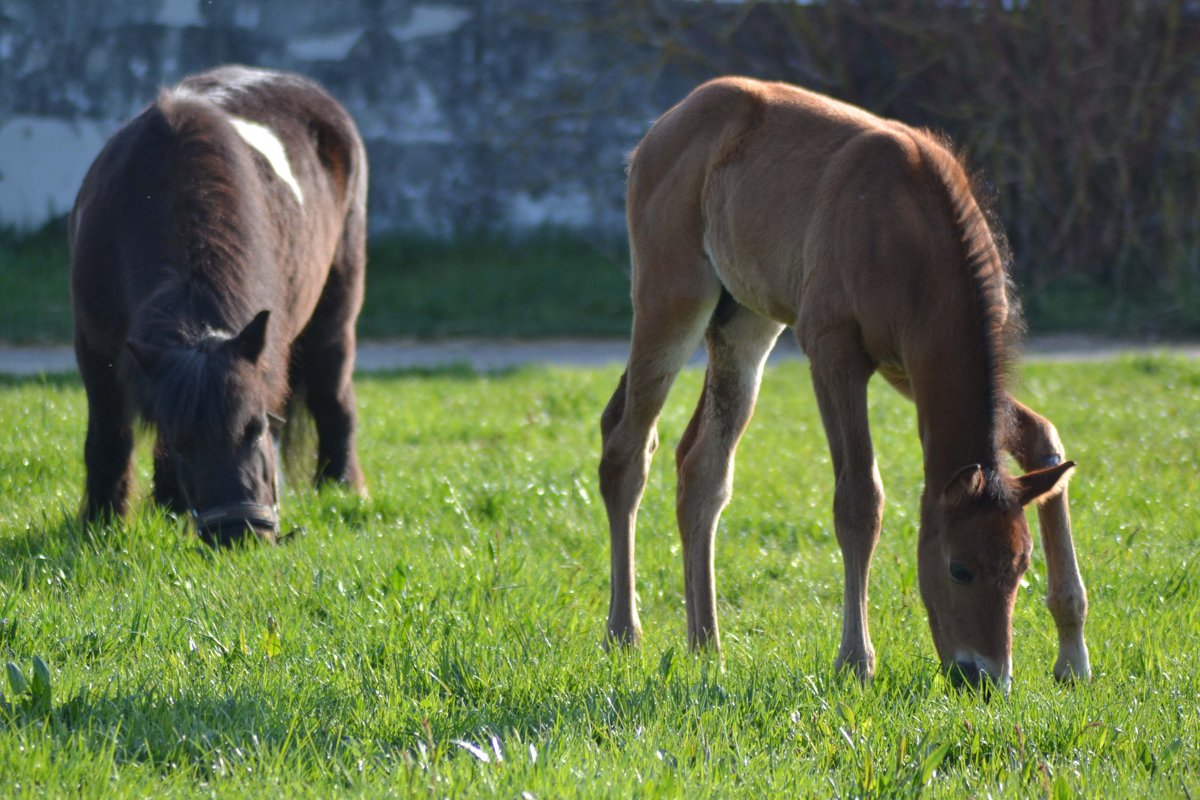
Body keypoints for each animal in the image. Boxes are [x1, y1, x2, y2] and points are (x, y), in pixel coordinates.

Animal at [71, 67, 364, 544]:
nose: (240, 533)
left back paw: (340, 487)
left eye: (256, 427)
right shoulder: (94, 349)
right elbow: (109, 437)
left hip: (337, 310)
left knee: (333, 397)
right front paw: (101, 521)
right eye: (183, 440)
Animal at [595, 77, 1094, 690]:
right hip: (673, 298)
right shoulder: (833, 350)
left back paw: (706, 646)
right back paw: (624, 633)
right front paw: (856, 661)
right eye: (959, 568)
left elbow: (1043, 437)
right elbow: (859, 498)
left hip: (745, 322)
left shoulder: (910, 370)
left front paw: (1073, 657)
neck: (914, 235)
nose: (984, 677)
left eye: (1022, 567)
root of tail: (664, 126)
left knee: (702, 468)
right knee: (626, 448)